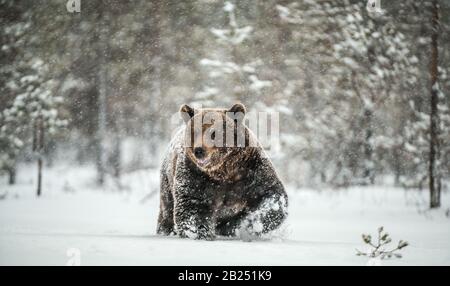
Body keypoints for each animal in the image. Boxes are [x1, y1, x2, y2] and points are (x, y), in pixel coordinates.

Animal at [156, 103, 286, 239]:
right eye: (194, 132)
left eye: (213, 133)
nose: (199, 150)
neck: (223, 170)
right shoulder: (195, 174)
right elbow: (192, 205)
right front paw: (200, 233)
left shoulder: (251, 171)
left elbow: (270, 196)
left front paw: (242, 224)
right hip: (167, 181)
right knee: (167, 211)